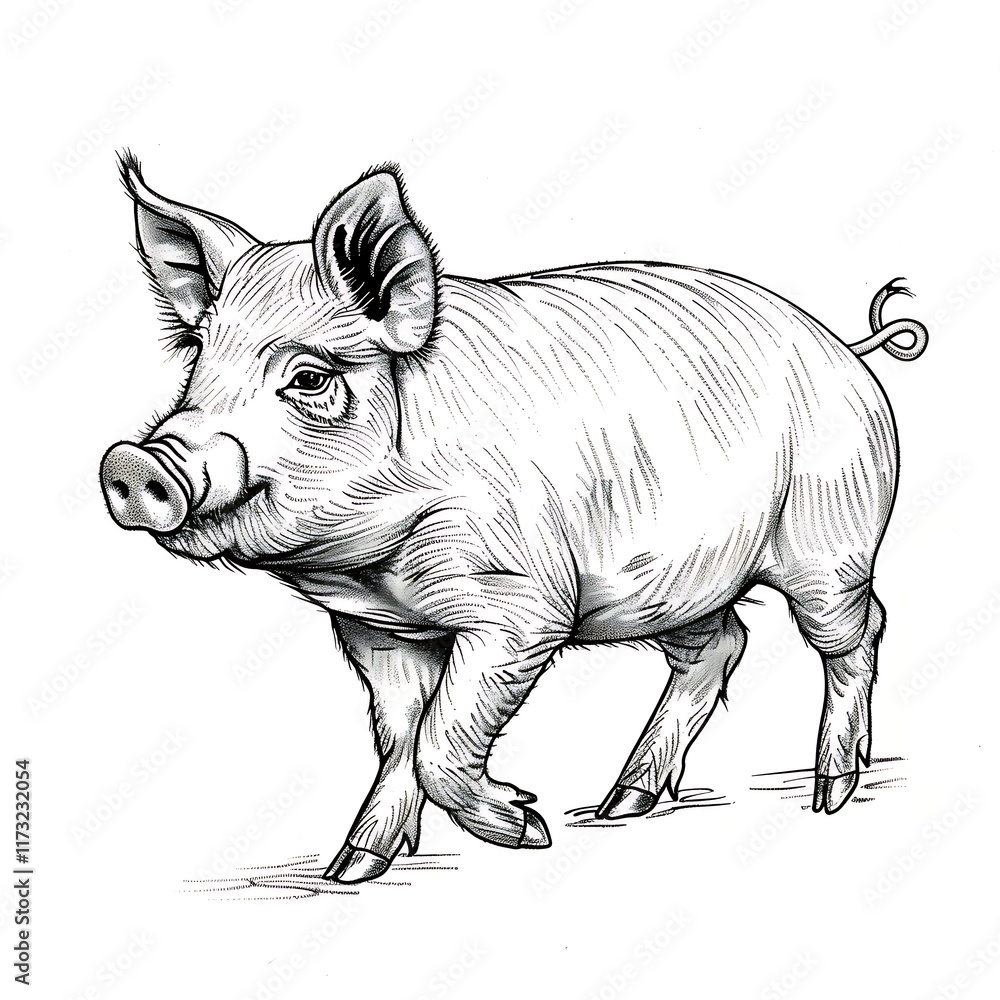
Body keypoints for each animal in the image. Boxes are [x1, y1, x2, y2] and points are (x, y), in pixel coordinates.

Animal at [101, 153, 928, 883]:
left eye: (308, 377)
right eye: (197, 362)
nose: (136, 462)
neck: (376, 566)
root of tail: (849, 348)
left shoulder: (523, 605)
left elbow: (440, 740)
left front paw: (531, 828)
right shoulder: (374, 628)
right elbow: (400, 738)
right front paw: (351, 871)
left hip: (832, 541)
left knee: (858, 632)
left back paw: (830, 795)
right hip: (681, 581)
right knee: (720, 646)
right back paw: (622, 804)